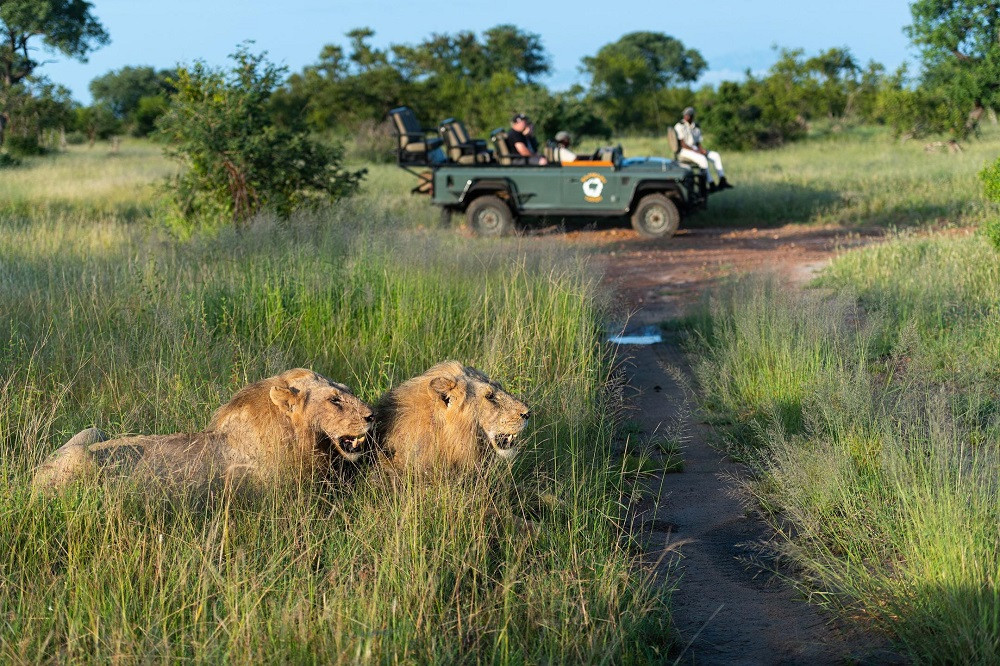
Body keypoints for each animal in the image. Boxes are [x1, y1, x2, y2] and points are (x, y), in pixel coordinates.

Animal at [33, 368, 376, 492]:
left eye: (347, 390)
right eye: (334, 400)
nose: (372, 416)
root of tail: (33, 479)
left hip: (92, 431)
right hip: (83, 459)